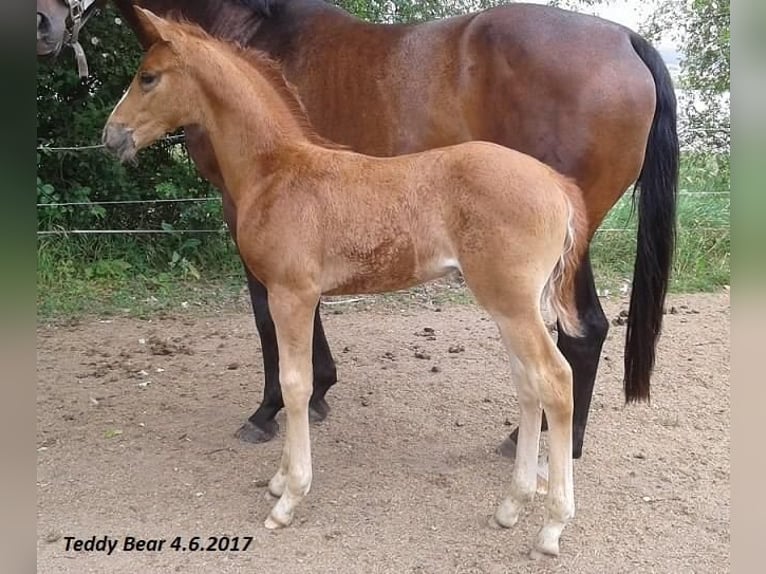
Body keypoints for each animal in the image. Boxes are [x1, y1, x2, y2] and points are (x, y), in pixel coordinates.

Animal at [37, 0, 684, 462]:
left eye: (148, 77)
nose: (112, 136)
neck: (280, 161)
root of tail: (628, 39)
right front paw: (319, 394)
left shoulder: (254, 240)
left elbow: (266, 323)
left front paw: (268, 413)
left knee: (580, 337)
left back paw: (554, 445)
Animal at [103, 9, 592, 560]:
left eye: (148, 77)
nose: (111, 135)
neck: (276, 170)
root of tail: (556, 184)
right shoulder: (296, 295)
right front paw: (279, 480)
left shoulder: (292, 294)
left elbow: (295, 384)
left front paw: (288, 497)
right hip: (508, 305)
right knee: (528, 386)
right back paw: (511, 506)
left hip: (512, 303)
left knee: (556, 380)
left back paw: (551, 528)